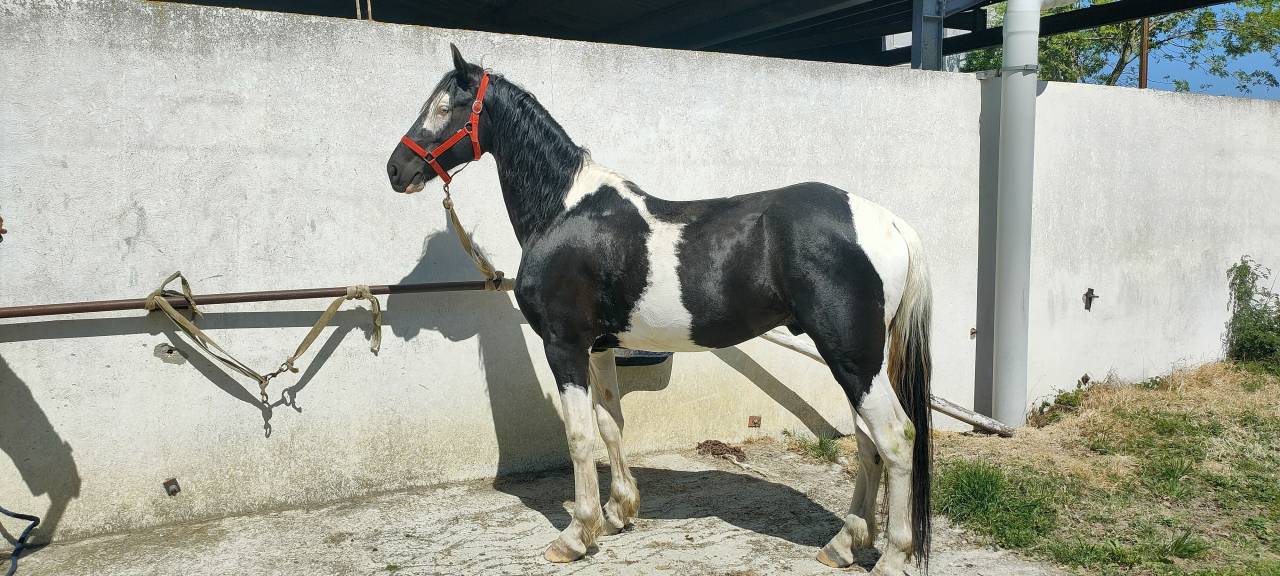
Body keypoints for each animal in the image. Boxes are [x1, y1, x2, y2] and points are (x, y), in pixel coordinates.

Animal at [385, 44, 934, 576]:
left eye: (445, 107)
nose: (396, 169)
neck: (564, 211)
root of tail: (889, 223)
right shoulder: (600, 348)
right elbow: (610, 422)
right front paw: (617, 513)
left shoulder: (564, 345)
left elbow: (579, 434)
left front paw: (575, 535)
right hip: (853, 360)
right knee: (867, 443)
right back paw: (842, 545)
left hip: (853, 357)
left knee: (895, 438)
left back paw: (892, 557)